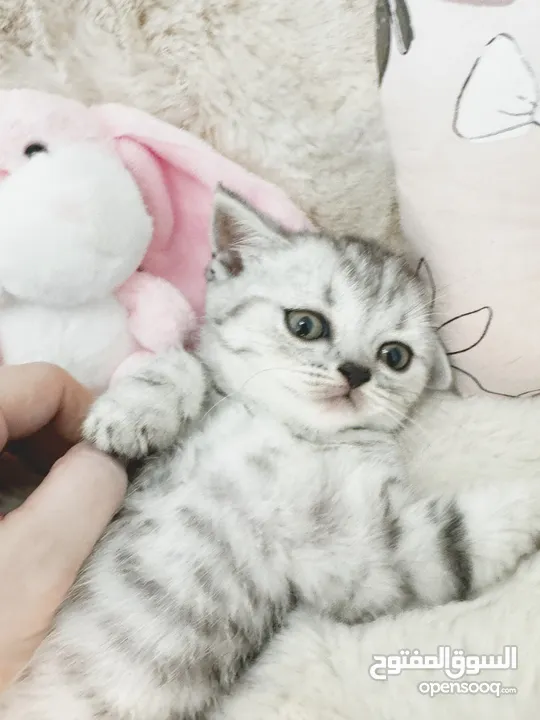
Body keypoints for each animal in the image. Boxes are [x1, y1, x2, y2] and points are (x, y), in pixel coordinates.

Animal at [4, 187, 540, 720]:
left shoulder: (369, 555)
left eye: (395, 356)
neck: (290, 429)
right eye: (305, 324)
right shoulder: (139, 472)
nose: (356, 372)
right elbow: (185, 366)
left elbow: (454, 538)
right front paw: (129, 413)